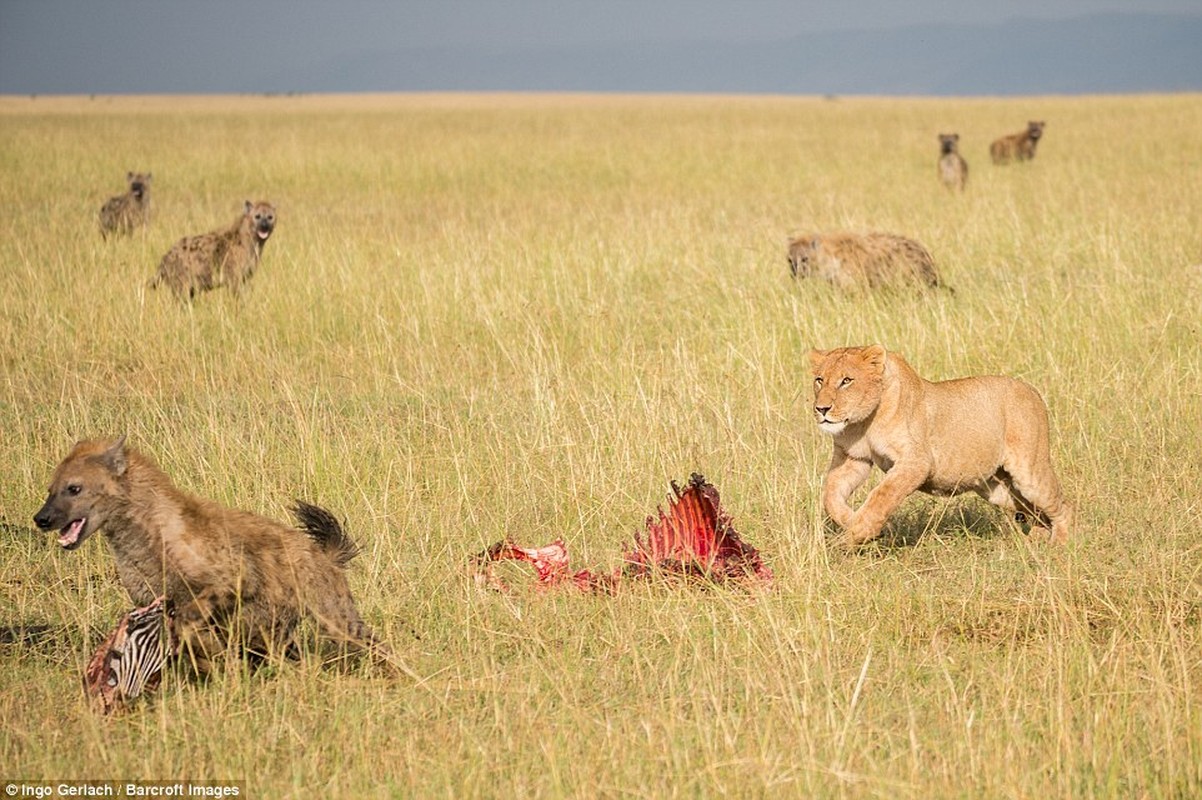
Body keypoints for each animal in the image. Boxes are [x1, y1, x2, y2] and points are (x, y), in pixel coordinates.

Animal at [807, 345, 1072, 545]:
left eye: (846, 380)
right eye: (820, 380)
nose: (822, 409)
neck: (862, 424)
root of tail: (1032, 390)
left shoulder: (916, 462)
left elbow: (882, 495)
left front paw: (859, 533)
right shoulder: (853, 458)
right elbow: (830, 495)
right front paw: (862, 524)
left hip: (1029, 471)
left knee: (1063, 505)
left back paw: (1059, 544)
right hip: (995, 488)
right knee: (1031, 509)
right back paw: (1036, 540)